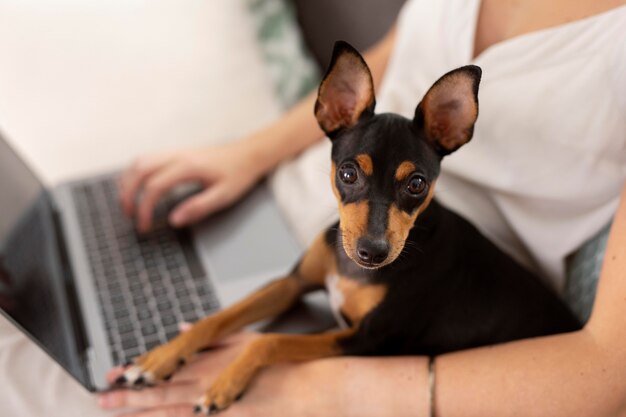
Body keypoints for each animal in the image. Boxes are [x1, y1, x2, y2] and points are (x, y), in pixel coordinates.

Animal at [114, 41, 576, 412]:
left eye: (417, 184)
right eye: (348, 174)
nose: (373, 251)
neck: (355, 272)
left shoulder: (363, 340)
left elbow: (269, 339)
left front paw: (224, 382)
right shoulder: (294, 282)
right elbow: (220, 317)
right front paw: (160, 358)